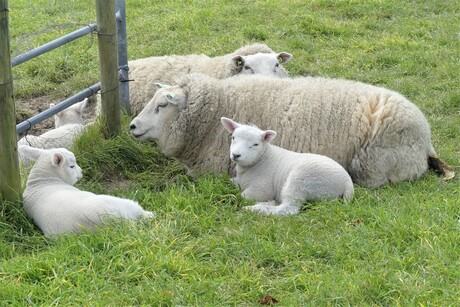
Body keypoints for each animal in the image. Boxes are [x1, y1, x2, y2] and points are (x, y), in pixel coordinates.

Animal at [19, 146, 155, 237]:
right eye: (72, 166)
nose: (81, 172)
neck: (42, 182)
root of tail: (114, 219)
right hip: (122, 203)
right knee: (140, 212)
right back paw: (151, 215)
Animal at [221, 117, 354, 217]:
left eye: (255, 144)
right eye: (233, 137)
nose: (236, 155)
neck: (262, 159)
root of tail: (348, 183)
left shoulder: (262, 189)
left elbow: (242, 195)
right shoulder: (238, 181)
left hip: (301, 181)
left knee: (288, 209)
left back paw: (256, 209)